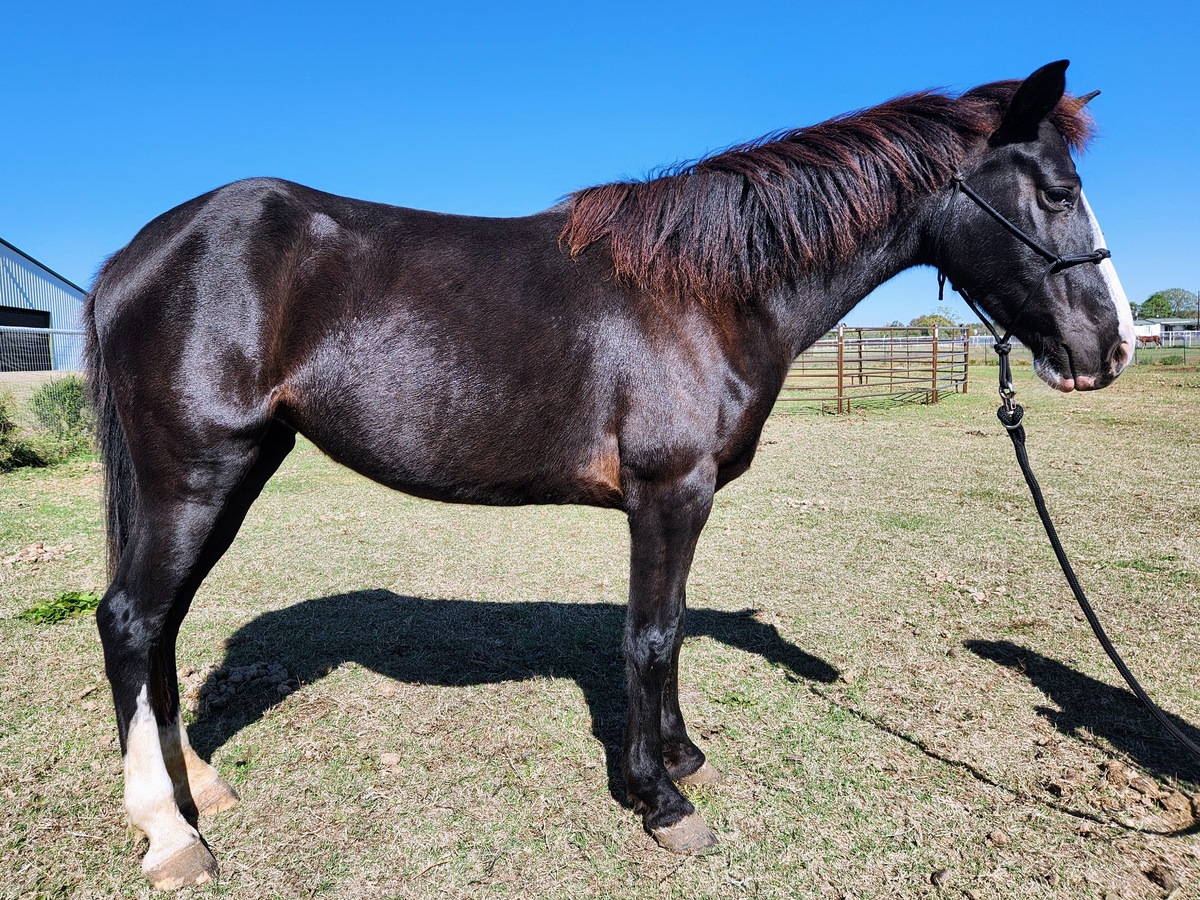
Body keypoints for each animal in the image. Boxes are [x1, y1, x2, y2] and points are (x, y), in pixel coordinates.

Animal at [85, 60, 1135, 888]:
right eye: (1055, 193)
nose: (1113, 346)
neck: (709, 292)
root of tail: (137, 254)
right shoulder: (668, 494)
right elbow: (652, 636)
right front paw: (660, 799)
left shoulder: (684, 503)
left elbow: (668, 628)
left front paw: (681, 755)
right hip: (197, 473)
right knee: (132, 620)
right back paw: (169, 833)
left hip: (232, 472)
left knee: (161, 623)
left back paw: (199, 787)